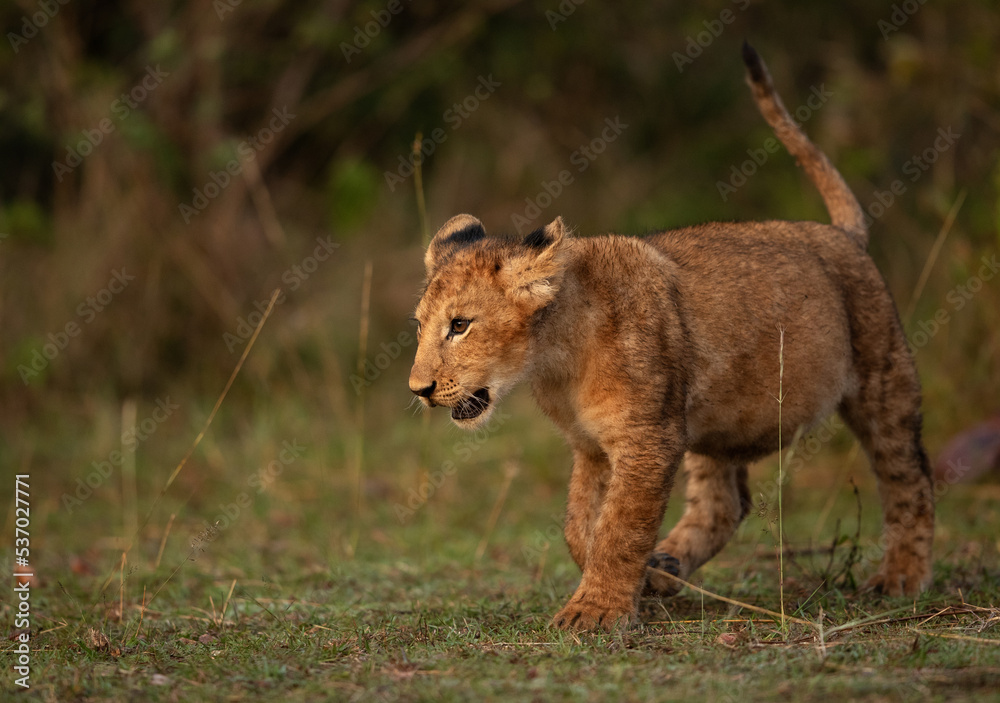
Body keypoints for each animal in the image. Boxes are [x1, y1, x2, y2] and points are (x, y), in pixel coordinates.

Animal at [408, 44, 934, 631]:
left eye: (459, 325)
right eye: (420, 326)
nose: (418, 389)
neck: (555, 358)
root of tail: (842, 234)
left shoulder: (648, 438)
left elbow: (618, 528)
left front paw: (595, 611)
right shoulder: (592, 446)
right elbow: (579, 525)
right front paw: (634, 581)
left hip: (882, 377)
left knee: (909, 475)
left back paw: (900, 577)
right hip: (716, 418)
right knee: (724, 503)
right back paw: (667, 568)